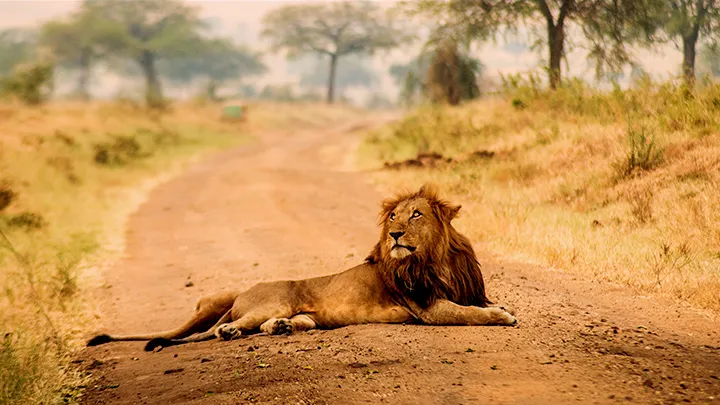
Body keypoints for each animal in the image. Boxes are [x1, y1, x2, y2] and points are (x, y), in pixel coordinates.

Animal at [87, 185, 517, 352]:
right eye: (393, 216)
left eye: (416, 215)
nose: (394, 234)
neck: (437, 258)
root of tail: (244, 292)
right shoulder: (429, 308)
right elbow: (471, 314)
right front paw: (502, 316)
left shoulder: (466, 290)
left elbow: (479, 304)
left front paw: (502, 308)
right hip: (269, 302)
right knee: (216, 331)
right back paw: (230, 331)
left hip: (301, 316)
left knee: (268, 326)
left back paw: (277, 329)